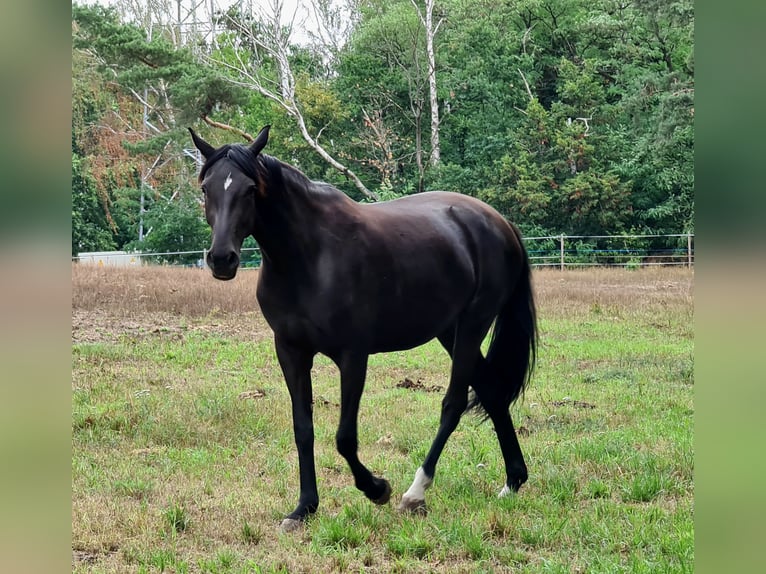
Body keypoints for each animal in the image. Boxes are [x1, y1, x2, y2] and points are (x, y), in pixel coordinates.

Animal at [189, 125, 538, 532]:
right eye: (206, 188)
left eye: (249, 189)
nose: (222, 259)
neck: (310, 256)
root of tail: (500, 223)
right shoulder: (290, 351)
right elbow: (303, 429)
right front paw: (305, 507)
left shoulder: (352, 356)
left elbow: (344, 438)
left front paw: (376, 488)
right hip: (449, 332)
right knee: (493, 392)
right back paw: (513, 481)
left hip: (471, 327)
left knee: (453, 405)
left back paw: (415, 492)